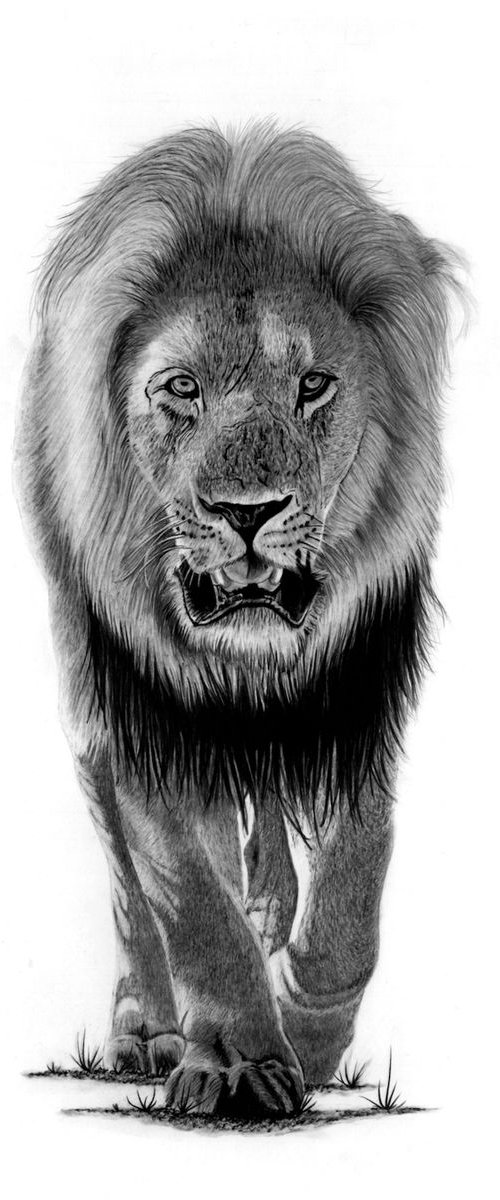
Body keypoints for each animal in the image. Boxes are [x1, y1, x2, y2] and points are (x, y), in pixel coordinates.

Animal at [15, 123, 460, 1118]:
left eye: (316, 384)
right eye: (180, 388)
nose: (247, 513)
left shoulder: (356, 691)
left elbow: (353, 888)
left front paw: (310, 1030)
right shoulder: (143, 702)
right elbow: (186, 894)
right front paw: (234, 1064)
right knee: (130, 890)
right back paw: (147, 1028)